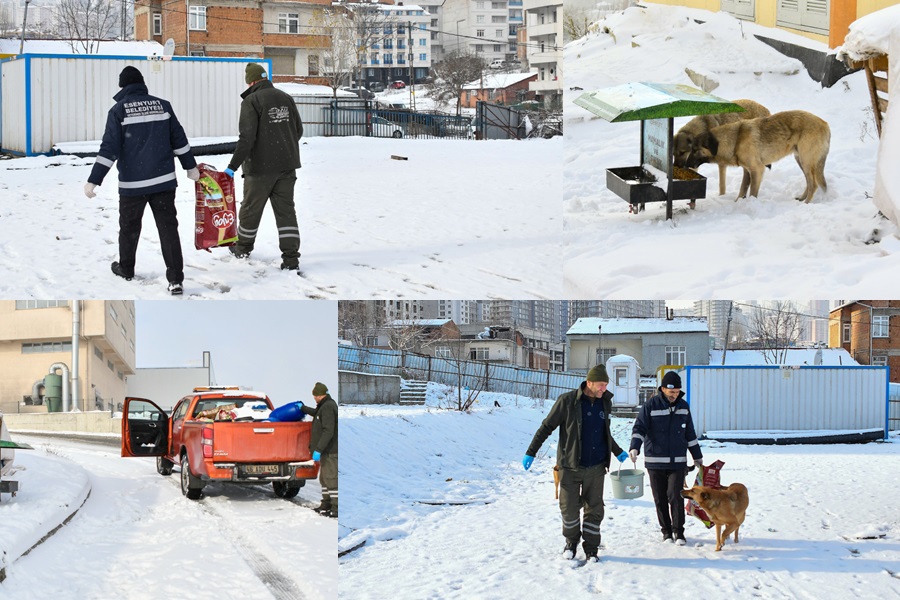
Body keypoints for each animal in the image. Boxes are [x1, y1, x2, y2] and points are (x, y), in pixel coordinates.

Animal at [684, 111, 832, 205]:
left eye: (695, 150)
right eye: (691, 150)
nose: (684, 166)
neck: (736, 139)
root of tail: (825, 124)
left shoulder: (757, 170)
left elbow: (752, 192)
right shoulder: (747, 171)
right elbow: (743, 189)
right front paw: (738, 203)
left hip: (806, 162)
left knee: (813, 184)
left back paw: (806, 203)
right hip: (801, 160)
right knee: (809, 182)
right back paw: (802, 198)